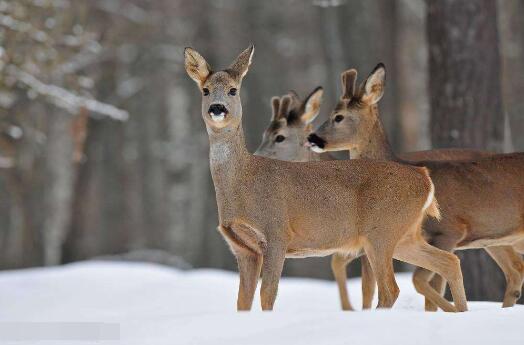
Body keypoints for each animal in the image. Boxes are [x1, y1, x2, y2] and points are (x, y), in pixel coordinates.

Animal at [183, 44, 466, 310]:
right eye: (205, 90)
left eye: (233, 90)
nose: (217, 108)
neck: (243, 183)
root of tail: (424, 178)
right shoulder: (242, 247)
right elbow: (242, 302)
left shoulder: (276, 233)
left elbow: (267, 295)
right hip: (405, 234)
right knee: (449, 261)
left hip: (382, 231)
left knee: (390, 289)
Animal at [308, 63, 524, 310]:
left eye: (339, 117)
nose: (312, 138)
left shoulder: (449, 231)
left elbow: (424, 282)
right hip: (496, 240)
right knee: (515, 271)